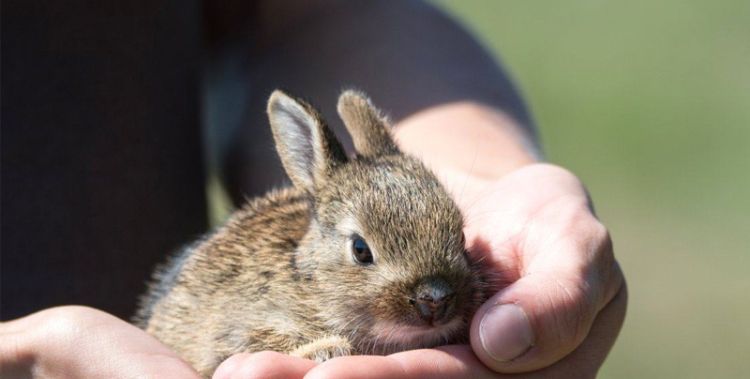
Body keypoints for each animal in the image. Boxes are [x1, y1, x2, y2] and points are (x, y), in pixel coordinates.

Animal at [135, 90, 488, 378]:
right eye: (360, 250)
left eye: (461, 236)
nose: (436, 298)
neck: (314, 285)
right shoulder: (236, 332)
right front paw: (327, 350)